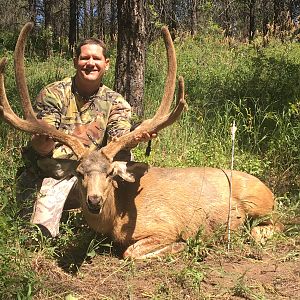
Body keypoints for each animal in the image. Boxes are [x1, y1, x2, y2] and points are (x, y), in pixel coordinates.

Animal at [0, 22, 282, 258]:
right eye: (79, 173)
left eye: (111, 173)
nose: (94, 200)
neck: (116, 216)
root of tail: (270, 190)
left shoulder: (163, 225)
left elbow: (131, 252)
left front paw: (186, 244)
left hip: (260, 204)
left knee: (275, 224)